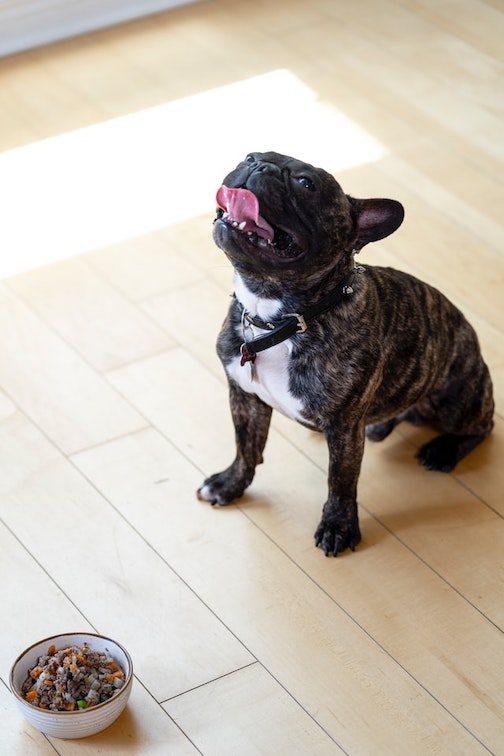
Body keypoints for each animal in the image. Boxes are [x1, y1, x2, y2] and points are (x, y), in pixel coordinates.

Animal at [196, 152, 492, 556]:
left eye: (306, 184)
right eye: (249, 155)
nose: (258, 165)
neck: (280, 319)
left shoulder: (344, 427)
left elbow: (341, 480)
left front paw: (338, 526)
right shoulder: (245, 397)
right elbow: (246, 448)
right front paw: (229, 484)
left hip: (457, 399)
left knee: (481, 426)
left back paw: (442, 451)